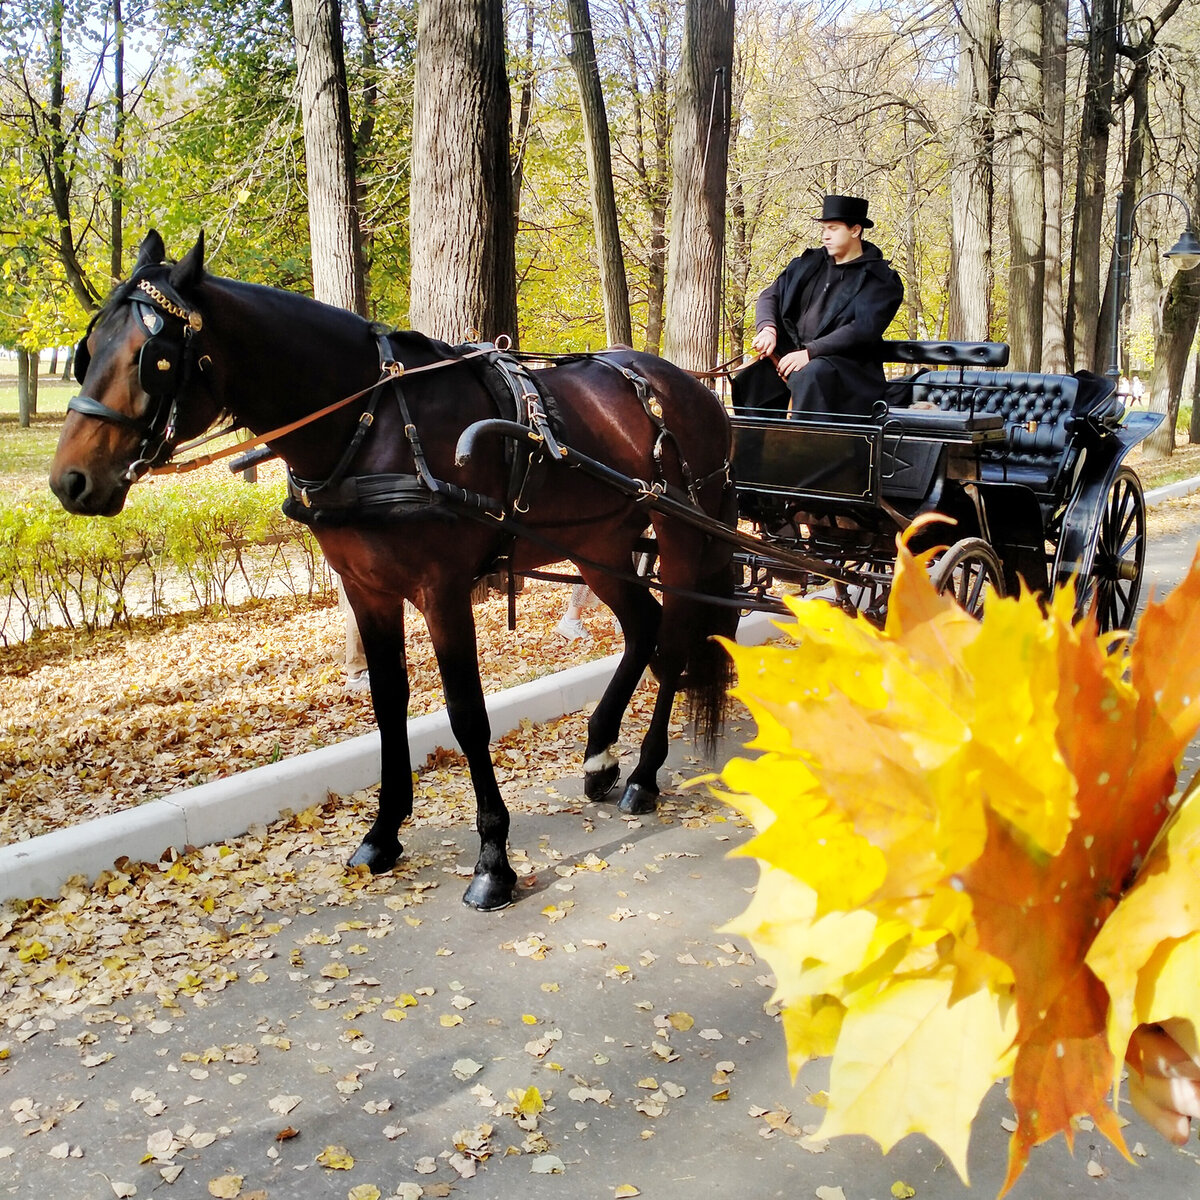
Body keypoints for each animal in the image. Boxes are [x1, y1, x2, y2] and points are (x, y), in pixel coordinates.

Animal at [51, 231, 739, 907]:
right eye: (87, 351)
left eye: (153, 358)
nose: (69, 481)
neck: (370, 424)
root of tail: (691, 384)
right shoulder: (367, 589)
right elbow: (388, 703)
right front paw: (383, 834)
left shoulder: (443, 590)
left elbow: (466, 714)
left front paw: (493, 860)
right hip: (600, 543)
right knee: (643, 628)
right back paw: (600, 756)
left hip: (682, 536)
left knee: (675, 636)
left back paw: (645, 773)